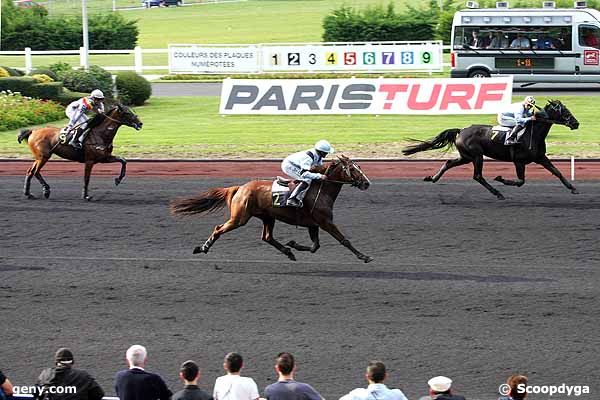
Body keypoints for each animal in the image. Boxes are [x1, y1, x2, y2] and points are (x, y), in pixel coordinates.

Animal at [170, 155, 376, 262]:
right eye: (353, 169)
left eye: (359, 166)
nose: (367, 183)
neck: (321, 188)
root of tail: (240, 188)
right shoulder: (325, 222)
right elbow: (343, 240)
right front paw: (364, 256)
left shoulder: (314, 223)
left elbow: (315, 246)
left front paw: (293, 244)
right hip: (240, 217)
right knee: (219, 228)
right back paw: (203, 248)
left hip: (268, 217)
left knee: (267, 237)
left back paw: (288, 252)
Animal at [400, 100, 580, 200]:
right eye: (564, 111)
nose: (576, 123)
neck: (532, 133)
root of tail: (461, 130)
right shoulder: (519, 161)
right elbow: (520, 181)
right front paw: (501, 178)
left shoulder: (540, 157)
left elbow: (557, 172)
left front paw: (573, 188)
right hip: (476, 155)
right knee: (478, 176)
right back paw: (498, 193)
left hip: (466, 157)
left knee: (449, 162)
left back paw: (433, 178)